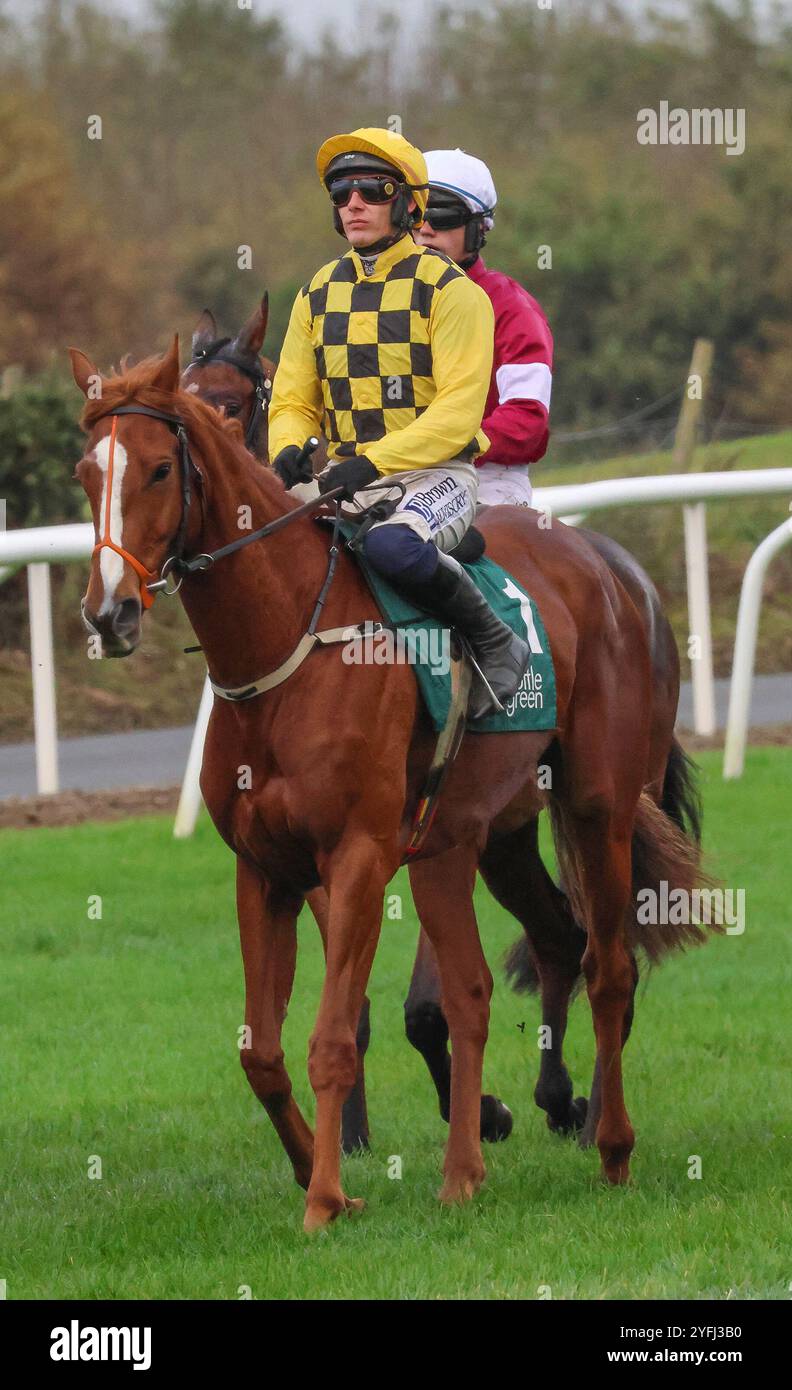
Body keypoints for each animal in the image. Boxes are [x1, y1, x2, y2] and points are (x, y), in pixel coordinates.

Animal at [69, 341, 708, 1234]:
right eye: (86, 473)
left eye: (161, 469)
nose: (110, 613)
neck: (290, 641)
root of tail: (614, 572)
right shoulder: (264, 870)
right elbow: (263, 1050)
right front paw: (322, 1169)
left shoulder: (360, 857)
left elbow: (334, 1037)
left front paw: (325, 1199)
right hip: (481, 836)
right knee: (514, 967)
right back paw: (475, 1164)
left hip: (599, 807)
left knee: (609, 965)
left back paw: (608, 1143)